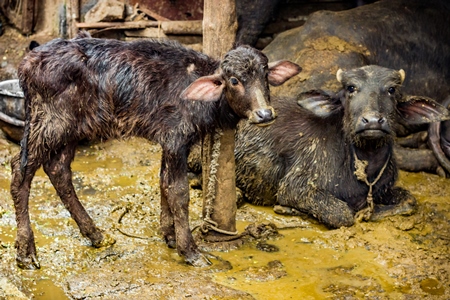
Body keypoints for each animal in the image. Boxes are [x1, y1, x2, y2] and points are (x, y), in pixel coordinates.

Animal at [8, 32, 300, 270]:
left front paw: (169, 235)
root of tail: (28, 62)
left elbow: (163, 183)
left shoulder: (167, 142)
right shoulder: (175, 139)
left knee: (58, 170)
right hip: (49, 123)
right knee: (21, 172)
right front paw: (190, 251)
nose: (264, 114)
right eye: (234, 80)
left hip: (73, 129)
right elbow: (178, 191)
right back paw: (26, 253)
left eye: (265, 77)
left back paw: (96, 235)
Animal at [236, 65, 450, 229]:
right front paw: (289, 209)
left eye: (391, 90)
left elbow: (409, 200)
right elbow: (342, 214)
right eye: (351, 88)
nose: (372, 121)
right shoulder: (296, 187)